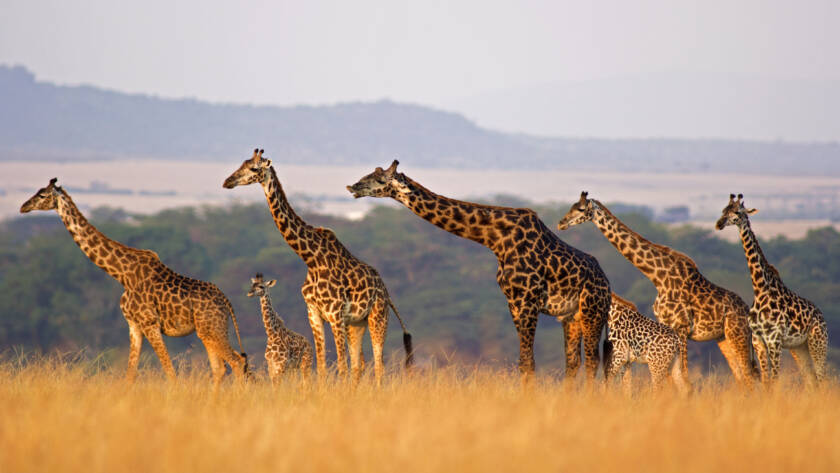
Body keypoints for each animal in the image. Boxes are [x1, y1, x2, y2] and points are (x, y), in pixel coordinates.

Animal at [20, 178, 250, 387]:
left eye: (42, 195)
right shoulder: (133, 325)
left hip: (211, 329)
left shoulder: (149, 323)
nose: (23, 207)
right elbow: (130, 375)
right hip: (208, 331)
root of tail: (226, 301)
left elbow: (170, 371)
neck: (121, 274)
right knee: (221, 368)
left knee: (237, 362)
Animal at [223, 149, 413, 385]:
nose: (227, 181)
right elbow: (322, 367)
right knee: (359, 365)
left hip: (377, 316)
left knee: (378, 365)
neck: (310, 258)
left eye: (254, 168)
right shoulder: (314, 313)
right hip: (356, 323)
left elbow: (341, 366)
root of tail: (386, 292)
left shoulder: (335, 315)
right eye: (243, 163)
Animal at [346, 161, 611, 382]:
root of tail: (607, 285)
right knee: (574, 362)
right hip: (571, 317)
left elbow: (528, 361)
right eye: (370, 173)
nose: (352, 186)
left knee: (592, 360)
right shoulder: (513, 302)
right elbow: (524, 361)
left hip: (592, 311)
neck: (496, 239)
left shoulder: (527, 301)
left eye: (381, 180)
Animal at [558, 191, 757, 387]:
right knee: (742, 376)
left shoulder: (681, 327)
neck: (658, 276)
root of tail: (747, 310)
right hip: (723, 338)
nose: (561, 223)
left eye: (580, 208)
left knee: (749, 374)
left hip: (737, 335)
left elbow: (683, 377)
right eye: (572, 206)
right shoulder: (666, 324)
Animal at [716, 193, 828, 386]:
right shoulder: (758, 340)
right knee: (811, 380)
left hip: (818, 343)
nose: (719, 223)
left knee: (822, 379)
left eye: (737, 212)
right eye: (724, 210)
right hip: (799, 347)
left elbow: (774, 381)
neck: (760, 288)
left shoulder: (774, 340)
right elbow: (766, 382)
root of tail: (822, 317)